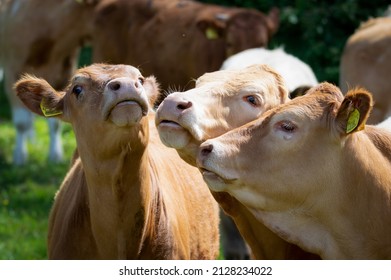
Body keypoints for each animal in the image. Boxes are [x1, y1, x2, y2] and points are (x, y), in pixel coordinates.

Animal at [0, 0, 98, 165]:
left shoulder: (64, 71)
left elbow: (55, 122)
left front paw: (55, 155)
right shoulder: (12, 69)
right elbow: (21, 123)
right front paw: (19, 156)